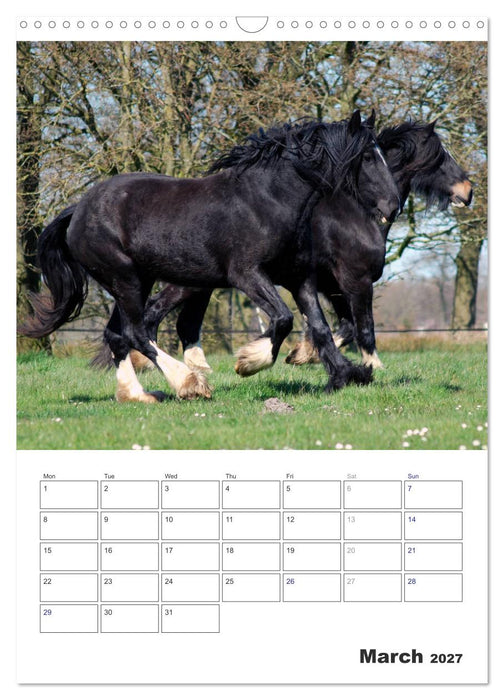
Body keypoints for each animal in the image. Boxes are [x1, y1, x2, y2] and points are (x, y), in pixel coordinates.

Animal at [20, 110, 400, 402]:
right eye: (367, 157)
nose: (393, 206)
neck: (269, 200)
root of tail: (78, 209)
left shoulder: (299, 277)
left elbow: (320, 327)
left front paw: (346, 375)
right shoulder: (247, 274)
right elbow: (282, 319)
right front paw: (248, 362)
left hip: (137, 280)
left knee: (117, 335)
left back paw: (138, 395)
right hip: (124, 278)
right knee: (137, 332)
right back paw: (189, 383)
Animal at [112, 119, 471, 374]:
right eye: (441, 156)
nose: (467, 191)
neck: (355, 214)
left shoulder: (330, 287)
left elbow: (341, 327)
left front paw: (300, 355)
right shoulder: (355, 281)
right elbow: (363, 328)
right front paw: (371, 366)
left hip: (201, 284)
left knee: (176, 321)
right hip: (192, 282)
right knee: (156, 315)